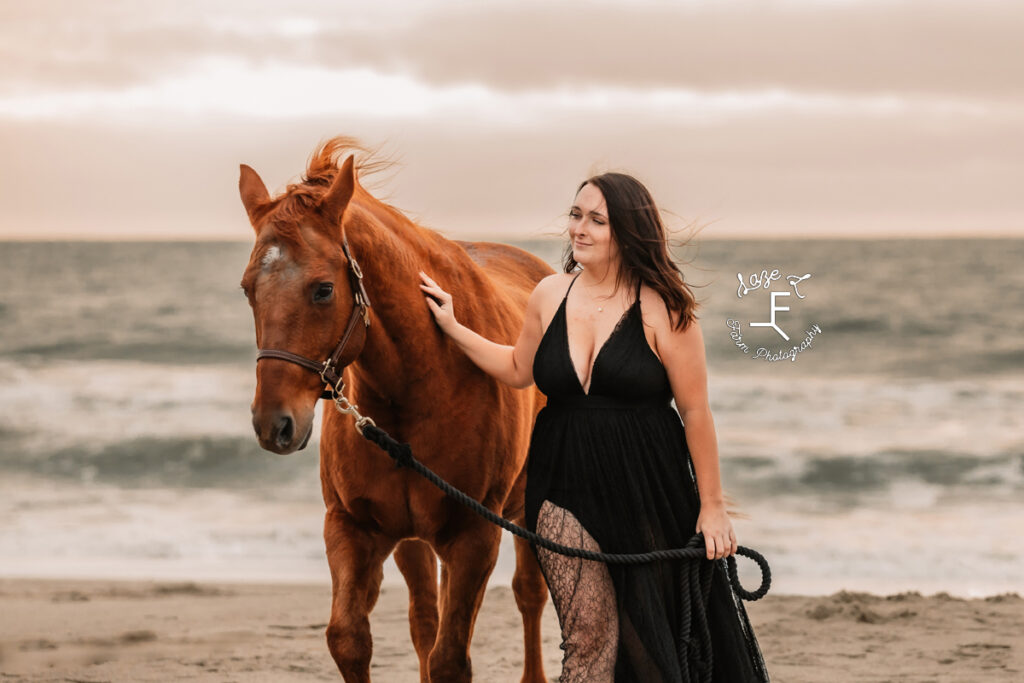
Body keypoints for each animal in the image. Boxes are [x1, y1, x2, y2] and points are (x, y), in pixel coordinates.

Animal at [236, 136, 557, 679]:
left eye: (323, 289)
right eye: (247, 289)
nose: (273, 424)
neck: (420, 385)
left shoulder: (475, 535)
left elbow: (451, 660)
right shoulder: (352, 527)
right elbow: (350, 639)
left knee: (528, 595)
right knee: (425, 618)